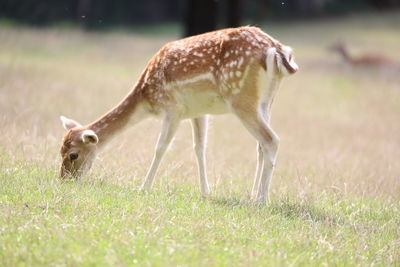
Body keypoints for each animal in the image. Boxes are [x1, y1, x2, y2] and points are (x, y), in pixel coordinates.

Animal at [58, 26, 296, 204]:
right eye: (59, 150)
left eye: (73, 155)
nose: (64, 180)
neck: (146, 96)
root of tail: (277, 51)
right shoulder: (198, 111)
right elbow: (199, 148)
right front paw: (205, 192)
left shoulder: (173, 108)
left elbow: (160, 147)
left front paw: (143, 188)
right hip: (266, 101)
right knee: (260, 145)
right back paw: (253, 195)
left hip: (240, 96)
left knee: (271, 139)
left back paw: (262, 200)